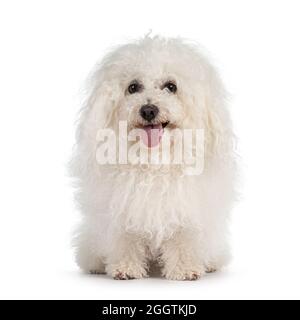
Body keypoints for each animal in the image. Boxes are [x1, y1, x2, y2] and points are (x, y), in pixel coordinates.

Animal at [70, 35, 237, 280]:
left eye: (171, 86)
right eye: (133, 87)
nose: (148, 110)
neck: (153, 160)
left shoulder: (185, 208)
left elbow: (183, 237)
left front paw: (184, 268)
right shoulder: (122, 207)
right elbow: (127, 238)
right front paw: (125, 267)